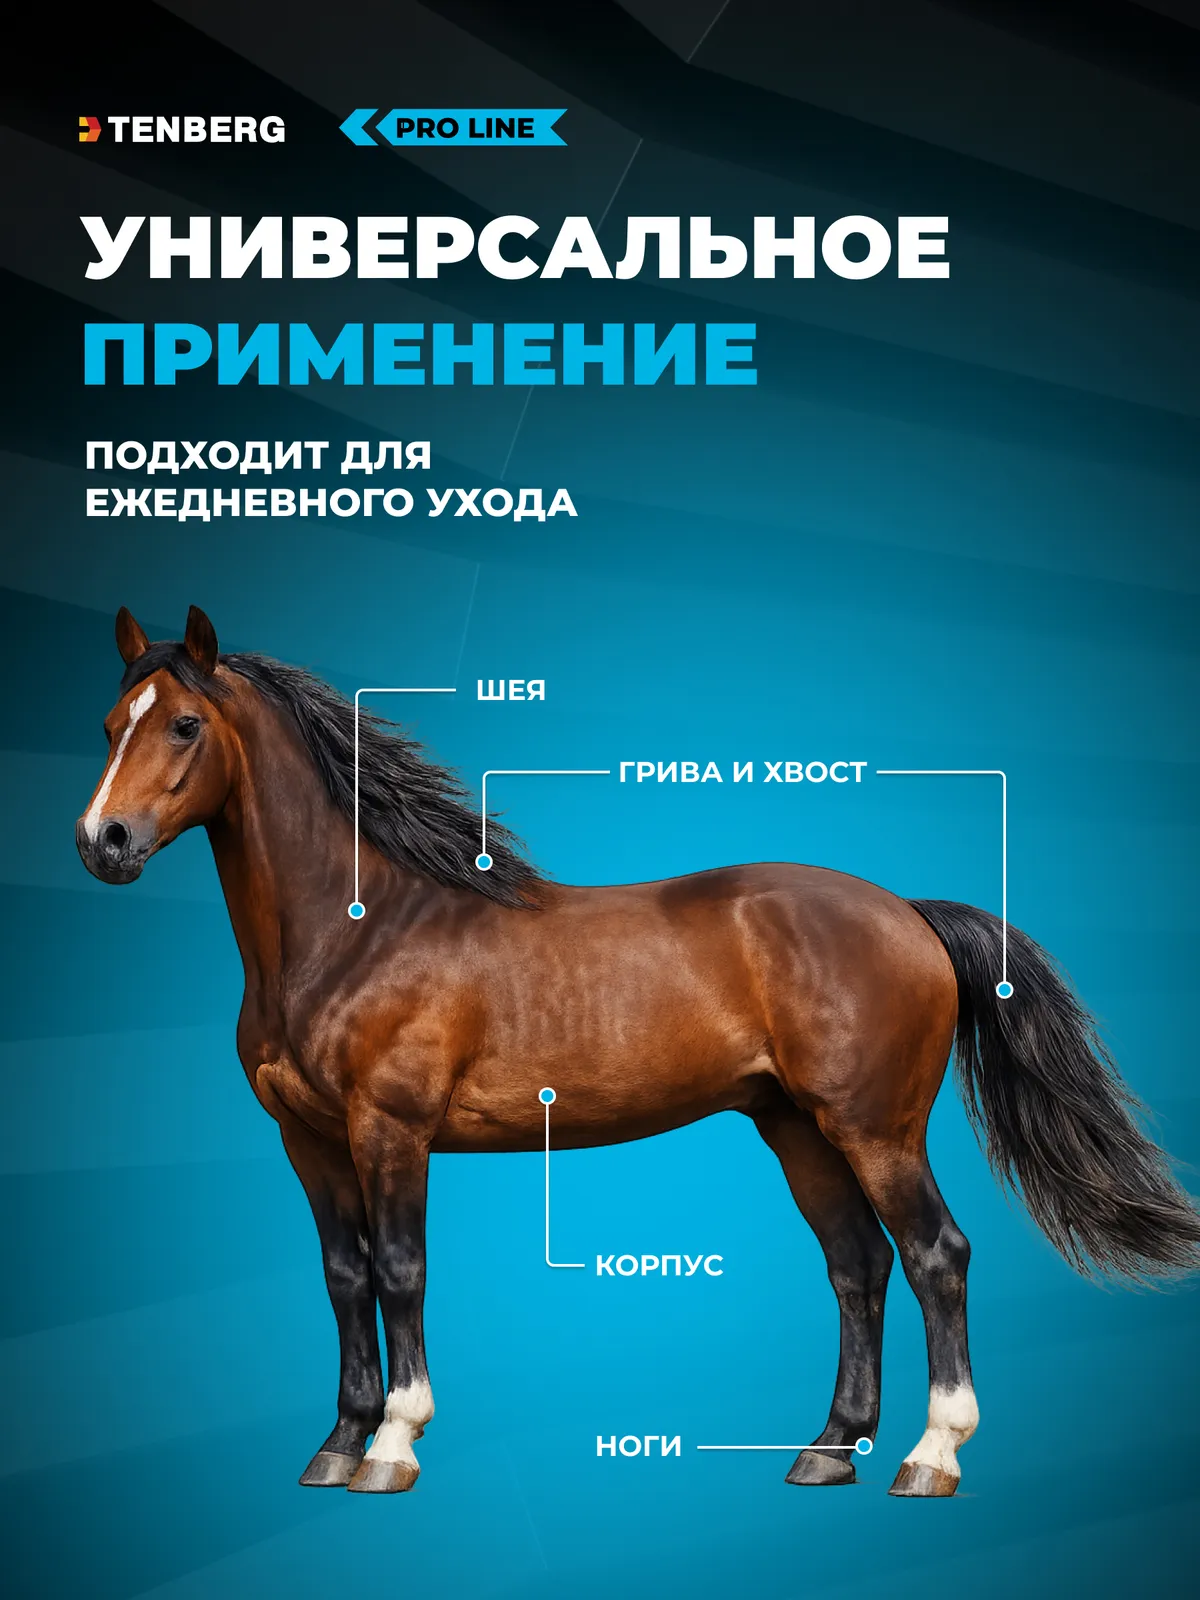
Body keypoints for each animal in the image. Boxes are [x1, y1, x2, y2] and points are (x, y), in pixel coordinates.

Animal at [76, 605, 1200, 1498]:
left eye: (184, 724)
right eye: (109, 726)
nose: (104, 843)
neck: (359, 931)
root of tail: (908, 914)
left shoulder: (389, 1129)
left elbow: (399, 1271)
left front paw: (393, 1444)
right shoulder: (306, 1142)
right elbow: (345, 1277)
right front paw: (337, 1445)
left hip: (875, 1129)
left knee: (936, 1256)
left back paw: (932, 1457)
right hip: (797, 1129)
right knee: (858, 1264)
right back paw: (829, 1449)